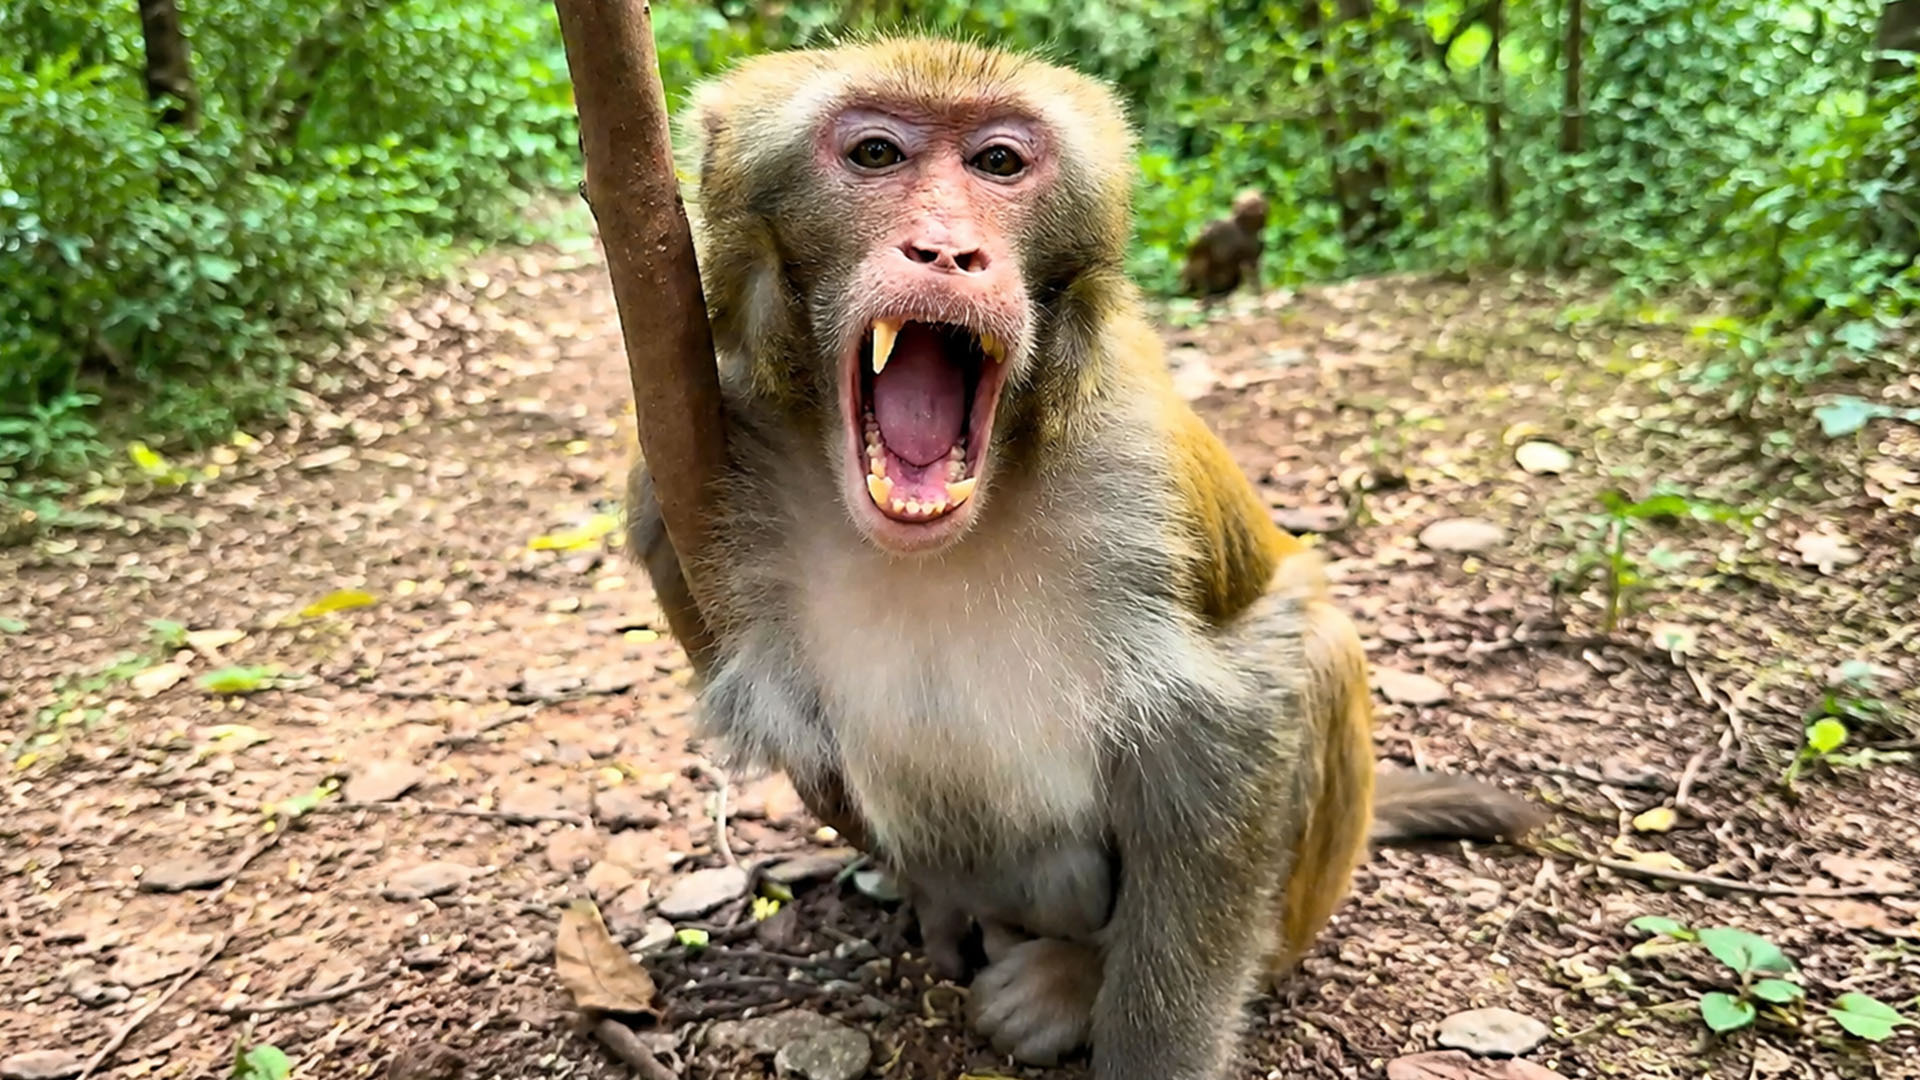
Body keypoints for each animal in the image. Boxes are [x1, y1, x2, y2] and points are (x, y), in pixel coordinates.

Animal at [623, 36, 1541, 1080]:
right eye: (874, 155)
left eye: (997, 164)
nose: (949, 251)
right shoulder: (678, 489)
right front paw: (943, 904)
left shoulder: (1135, 467)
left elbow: (1249, 696)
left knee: (1316, 654)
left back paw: (1072, 976)